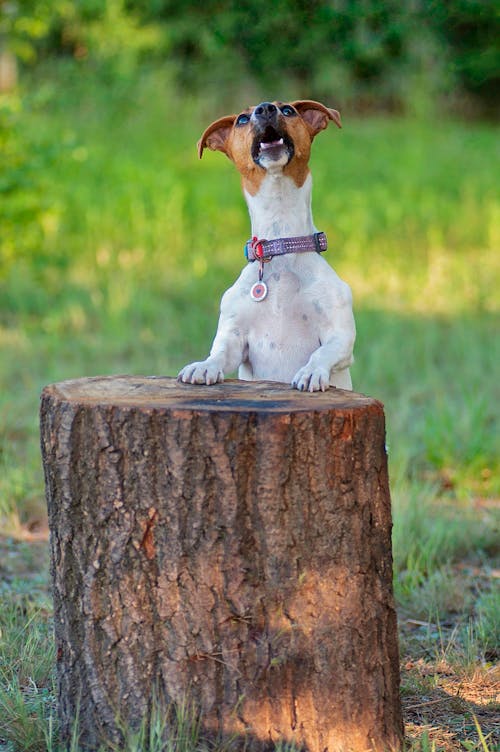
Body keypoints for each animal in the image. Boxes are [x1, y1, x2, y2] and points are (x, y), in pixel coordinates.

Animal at [180, 99, 356, 390]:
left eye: (288, 110)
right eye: (241, 119)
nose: (264, 108)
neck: (280, 244)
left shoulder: (340, 336)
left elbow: (322, 353)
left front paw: (311, 371)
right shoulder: (235, 338)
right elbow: (220, 353)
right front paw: (204, 367)